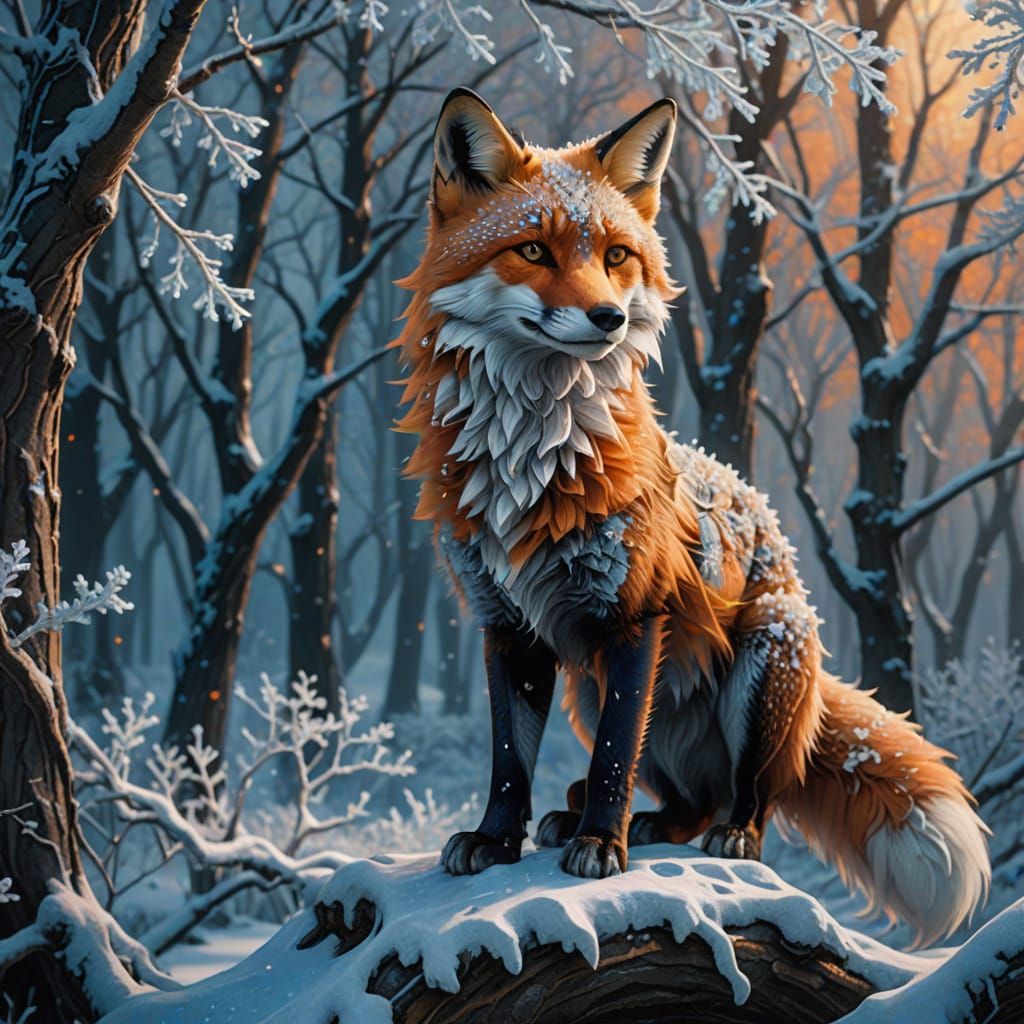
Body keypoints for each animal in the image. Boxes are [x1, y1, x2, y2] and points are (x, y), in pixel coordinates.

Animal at [395, 87, 990, 945]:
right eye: (533, 251)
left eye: (617, 256)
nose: (607, 318)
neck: (534, 458)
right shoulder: (504, 624)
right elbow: (510, 758)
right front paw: (498, 840)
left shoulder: (636, 616)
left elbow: (614, 757)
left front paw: (600, 849)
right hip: (590, 693)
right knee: (681, 801)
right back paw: (613, 819)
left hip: (760, 667)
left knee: (749, 794)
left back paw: (720, 832)